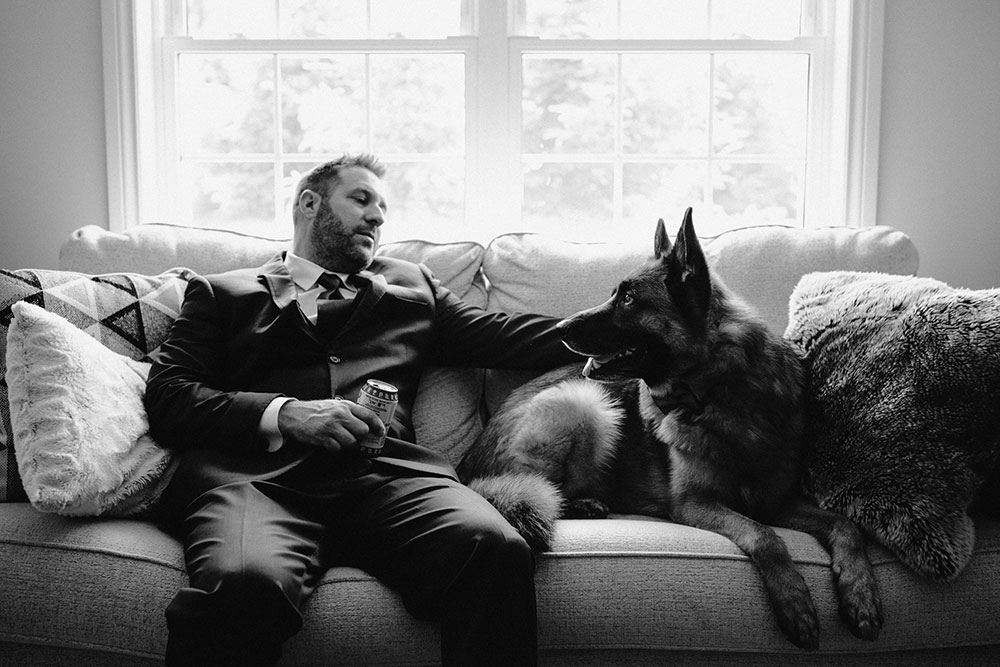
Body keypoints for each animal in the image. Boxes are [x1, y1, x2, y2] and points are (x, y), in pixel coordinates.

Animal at [458, 210, 880, 652]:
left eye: (628, 299)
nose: (559, 328)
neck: (717, 392)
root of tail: (470, 464)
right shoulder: (695, 503)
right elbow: (765, 536)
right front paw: (795, 603)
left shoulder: (775, 502)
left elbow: (846, 526)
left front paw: (860, 594)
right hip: (586, 403)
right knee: (531, 490)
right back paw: (581, 504)